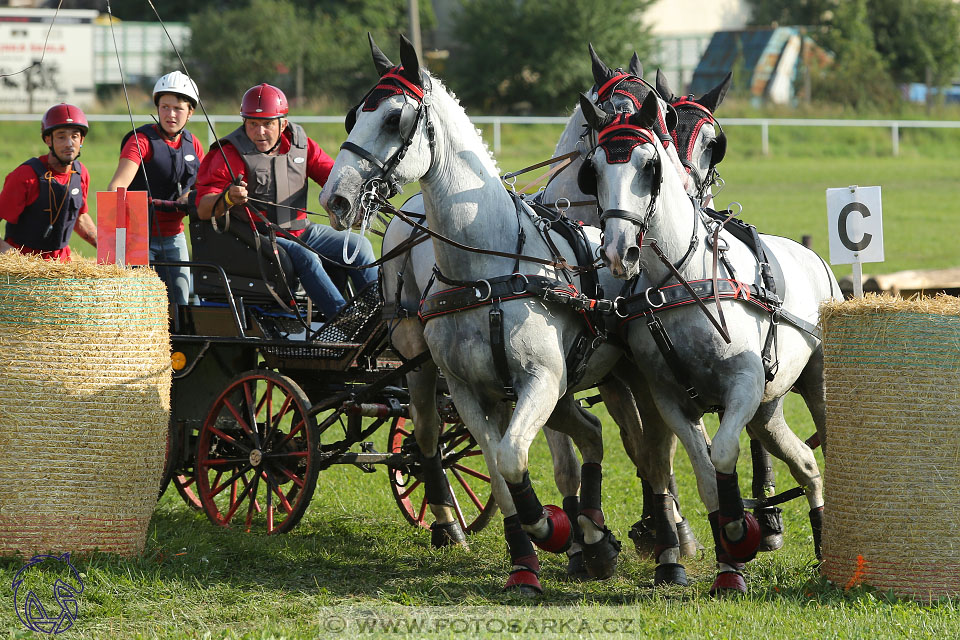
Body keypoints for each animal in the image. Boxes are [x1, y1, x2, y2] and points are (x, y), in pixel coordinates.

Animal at [322, 35, 636, 596]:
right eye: (355, 114)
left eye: (394, 118)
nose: (335, 198)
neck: (486, 268)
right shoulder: (470, 392)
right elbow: (499, 464)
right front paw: (528, 554)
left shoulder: (541, 380)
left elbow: (511, 458)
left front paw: (552, 529)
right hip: (423, 364)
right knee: (432, 436)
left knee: (615, 437)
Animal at [576, 91, 840, 596]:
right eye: (593, 169)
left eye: (648, 165)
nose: (619, 251)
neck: (682, 278)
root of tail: (815, 258)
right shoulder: (672, 400)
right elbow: (705, 477)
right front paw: (728, 568)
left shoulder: (742, 385)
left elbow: (722, 454)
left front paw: (740, 531)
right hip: (767, 411)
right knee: (806, 464)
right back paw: (821, 545)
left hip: (811, 386)